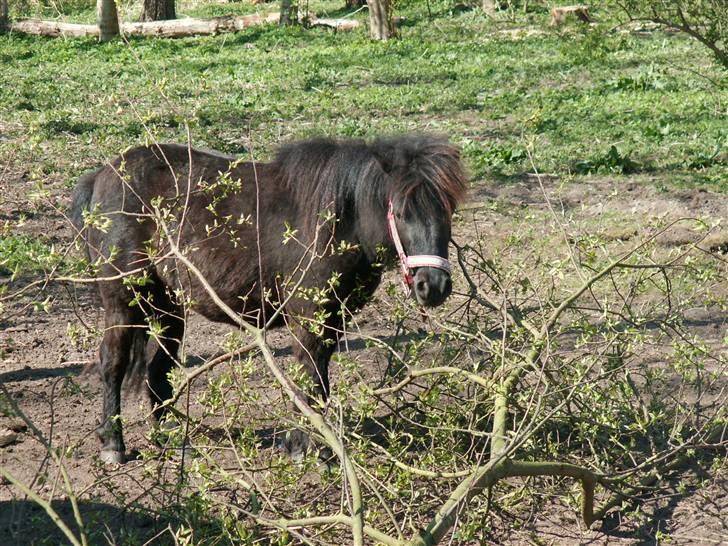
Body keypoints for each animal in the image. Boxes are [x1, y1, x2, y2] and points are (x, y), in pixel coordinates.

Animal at [72, 134, 466, 462]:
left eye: (448, 210)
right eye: (399, 212)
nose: (433, 285)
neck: (338, 221)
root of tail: (101, 176)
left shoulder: (332, 322)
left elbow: (318, 384)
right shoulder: (309, 320)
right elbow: (311, 380)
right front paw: (305, 448)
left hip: (167, 307)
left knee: (158, 369)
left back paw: (168, 437)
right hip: (123, 301)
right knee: (113, 364)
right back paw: (113, 443)